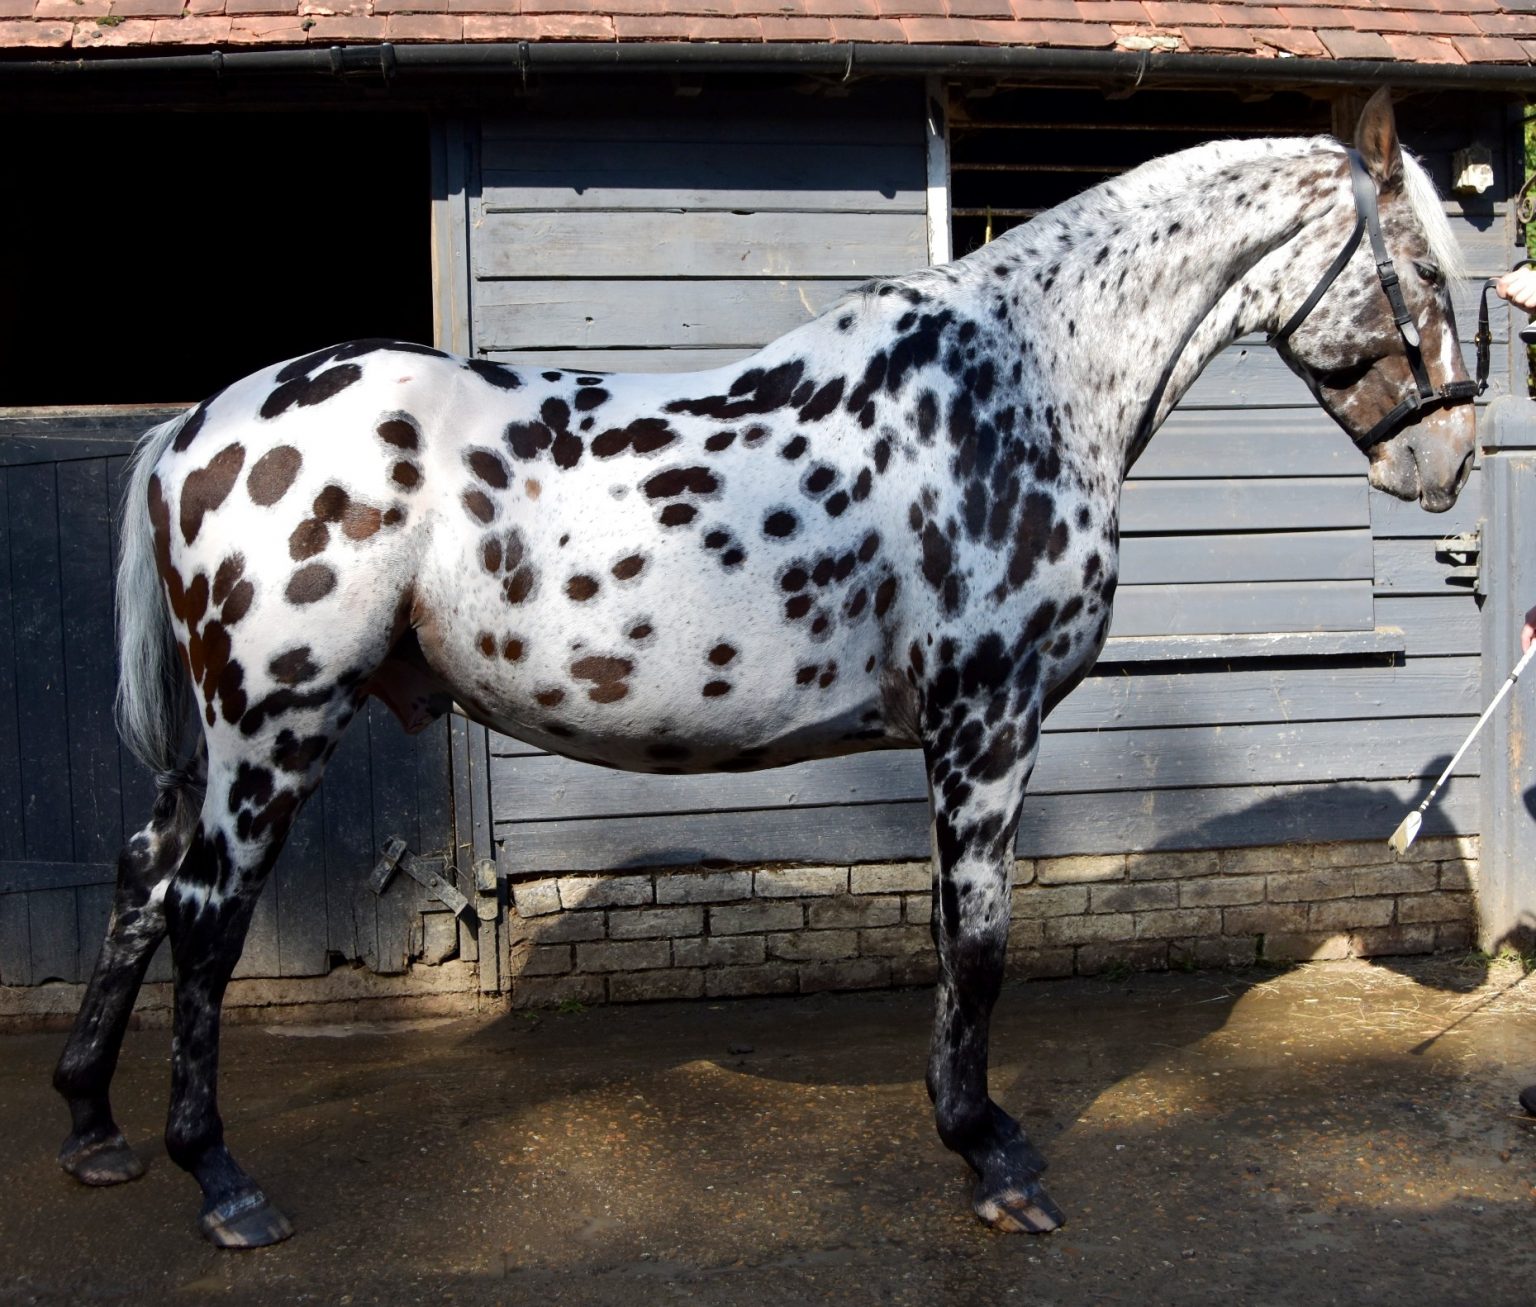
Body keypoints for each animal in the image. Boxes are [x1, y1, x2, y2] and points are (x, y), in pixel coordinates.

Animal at [52, 88, 1478, 1247]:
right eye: (1421, 265)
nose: (1448, 462)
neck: (1023, 385)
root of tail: (198, 425)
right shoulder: (988, 723)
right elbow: (983, 944)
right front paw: (993, 1157)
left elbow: (954, 938)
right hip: (274, 724)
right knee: (205, 913)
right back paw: (221, 1181)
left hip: (218, 739)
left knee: (140, 875)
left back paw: (93, 1126)